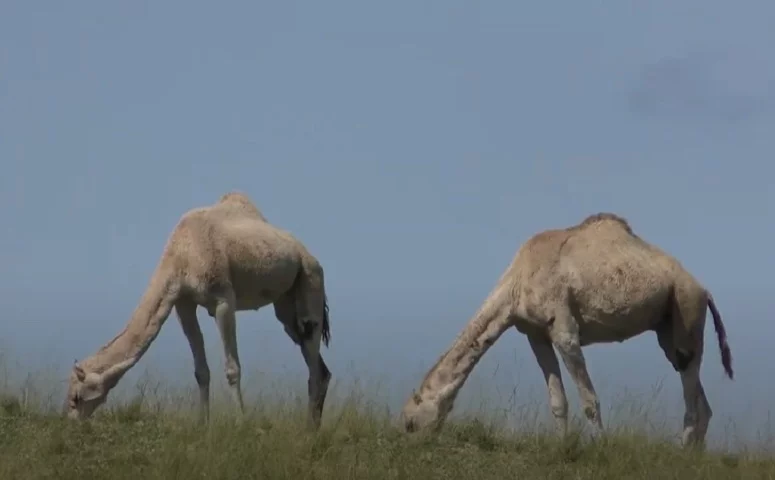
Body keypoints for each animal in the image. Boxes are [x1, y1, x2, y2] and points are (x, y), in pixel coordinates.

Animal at [63, 191, 334, 428]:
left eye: (76, 396)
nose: (69, 422)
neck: (181, 254)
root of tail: (309, 255)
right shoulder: (183, 303)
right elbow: (201, 371)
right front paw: (203, 424)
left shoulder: (223, 300)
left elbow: (232, 368)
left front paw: (241, 423)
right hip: (286, 304)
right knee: (318, 364)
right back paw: (313, 427)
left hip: (310, 279)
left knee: (313, 357)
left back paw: (308, 429)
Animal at [400, 212, 732, 448]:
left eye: (410, 423)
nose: (407, 441)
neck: (517, 283)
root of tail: (704, 290)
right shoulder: (536, 335)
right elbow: (557, 401)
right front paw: (562, 447)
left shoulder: (564, 330)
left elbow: (589, 399)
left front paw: (601, 448)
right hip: (668, 327)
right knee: (700, 396)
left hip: (686, 309)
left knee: (691, 390)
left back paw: (683, 450)